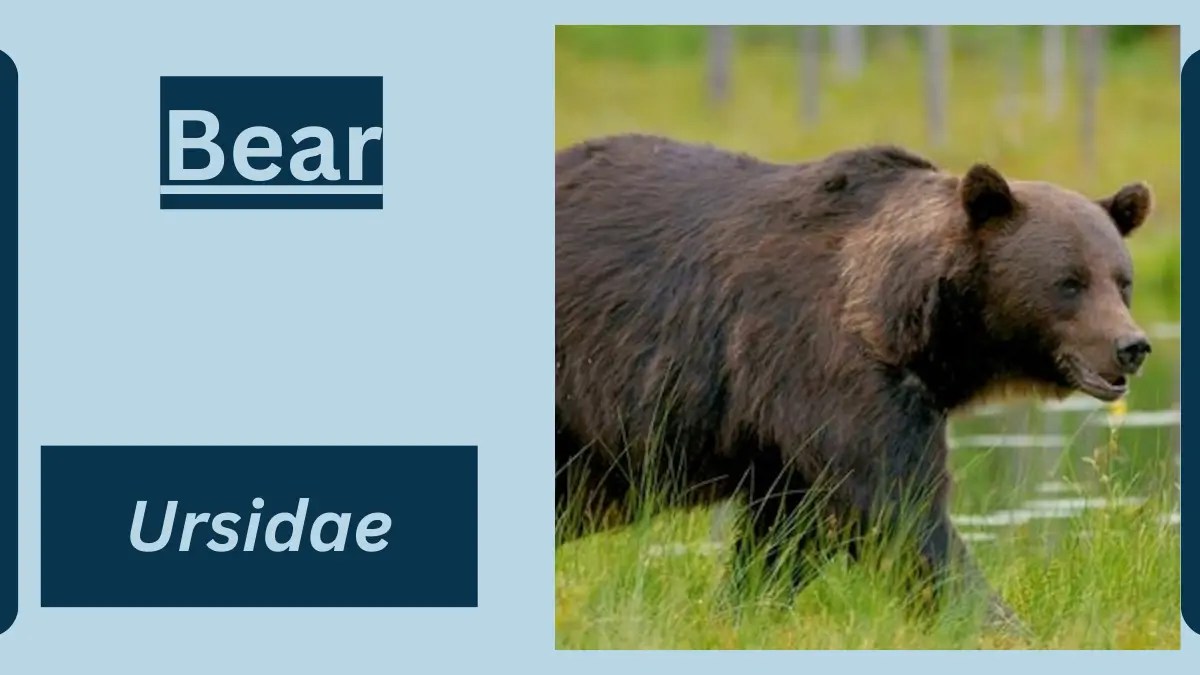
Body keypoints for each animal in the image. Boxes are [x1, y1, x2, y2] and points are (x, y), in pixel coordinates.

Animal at [554, 133, 1153, 631]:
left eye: (1122, 280)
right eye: (1069, 282)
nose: (1131, 345)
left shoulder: (787, 439)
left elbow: (787, 535)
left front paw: (740, 610)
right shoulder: (827, 370)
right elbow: (899, 511)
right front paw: (996, 623)